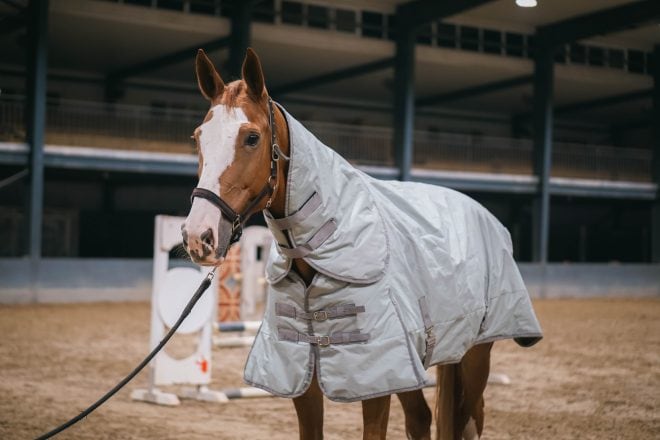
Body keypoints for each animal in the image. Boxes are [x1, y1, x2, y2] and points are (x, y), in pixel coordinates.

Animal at [182, 46, 540, 438]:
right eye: (198, 137)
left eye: (251, 138)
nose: (198, 235)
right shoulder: (304, 377)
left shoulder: (375, 380)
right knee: (421, 418)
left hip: (475, 355)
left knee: (470, 419)